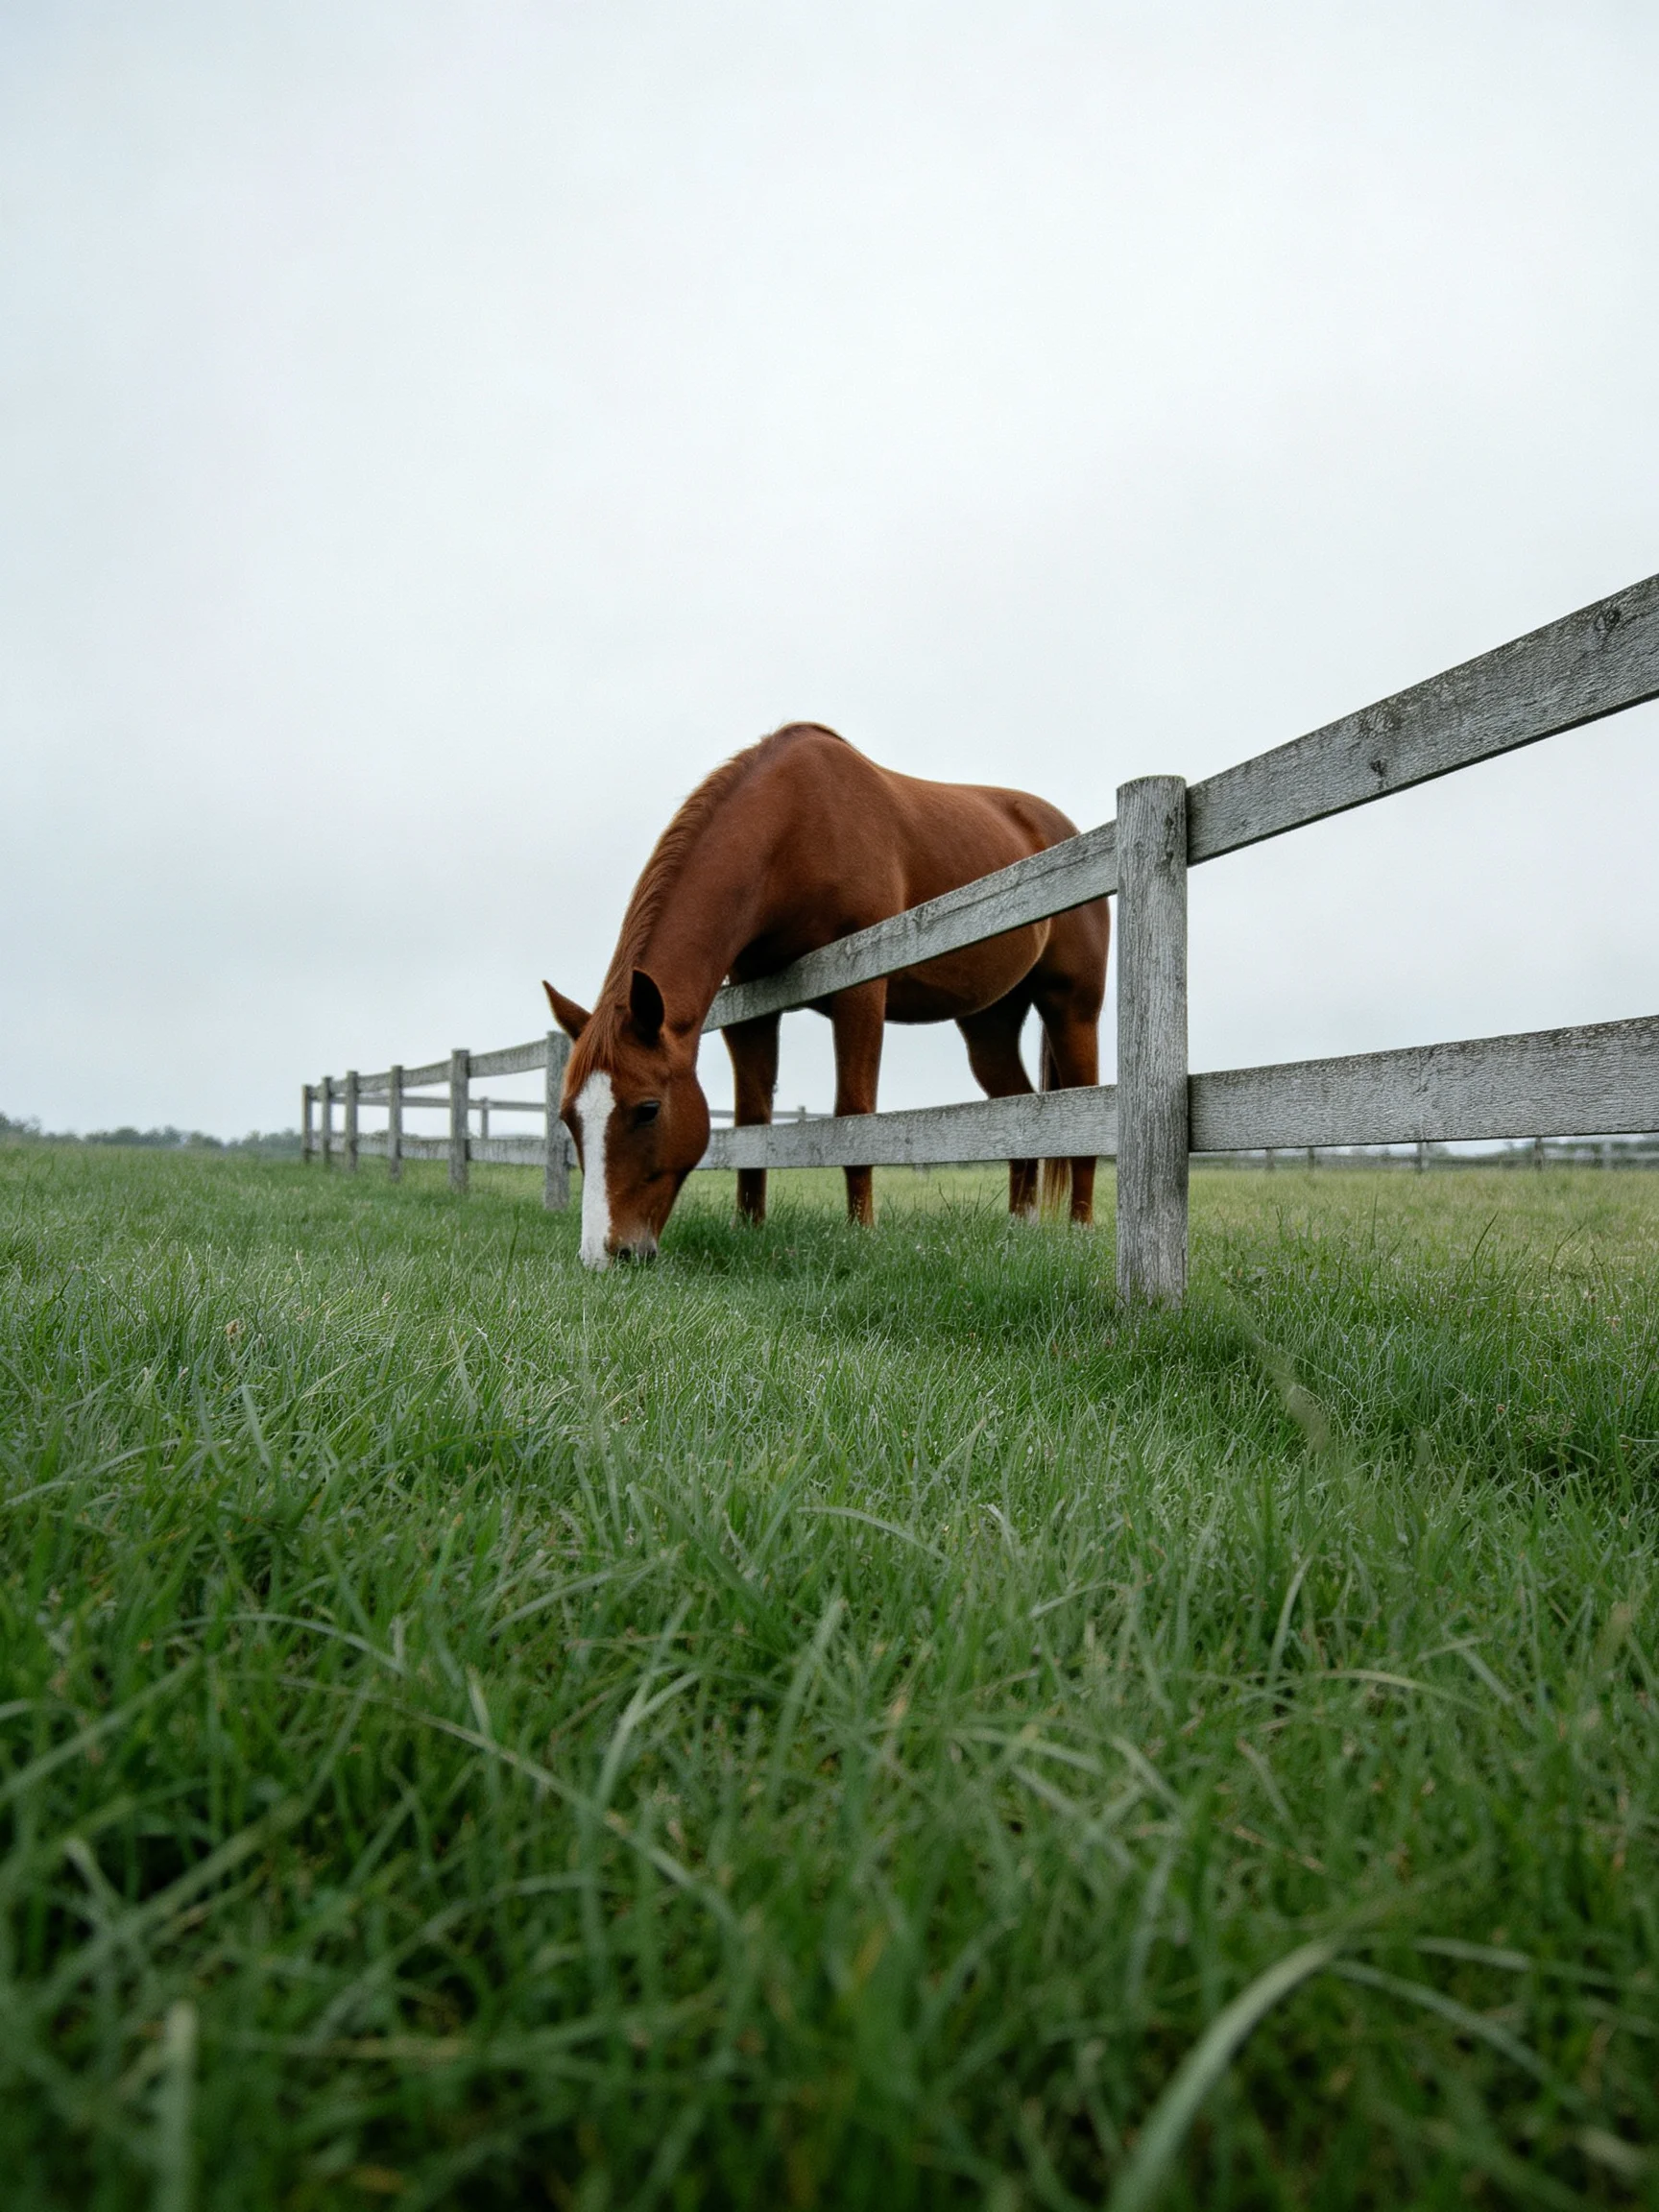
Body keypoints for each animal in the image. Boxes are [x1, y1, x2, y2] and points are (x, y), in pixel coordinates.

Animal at [544, 723, 1108, 1269]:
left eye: (647, 1109)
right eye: (568, 1117)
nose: (603, 1255)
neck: (794, 827)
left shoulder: (860, 987)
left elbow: (853, 1109)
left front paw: (861, 1231)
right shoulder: (752, 1007)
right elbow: (753, 1121)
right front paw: (749, 1225)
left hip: (1072, 1006)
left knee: (1085, 1104)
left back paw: (1080, 1230)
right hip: (989, 1022)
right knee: (1019, 1107)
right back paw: (1020, 1228)